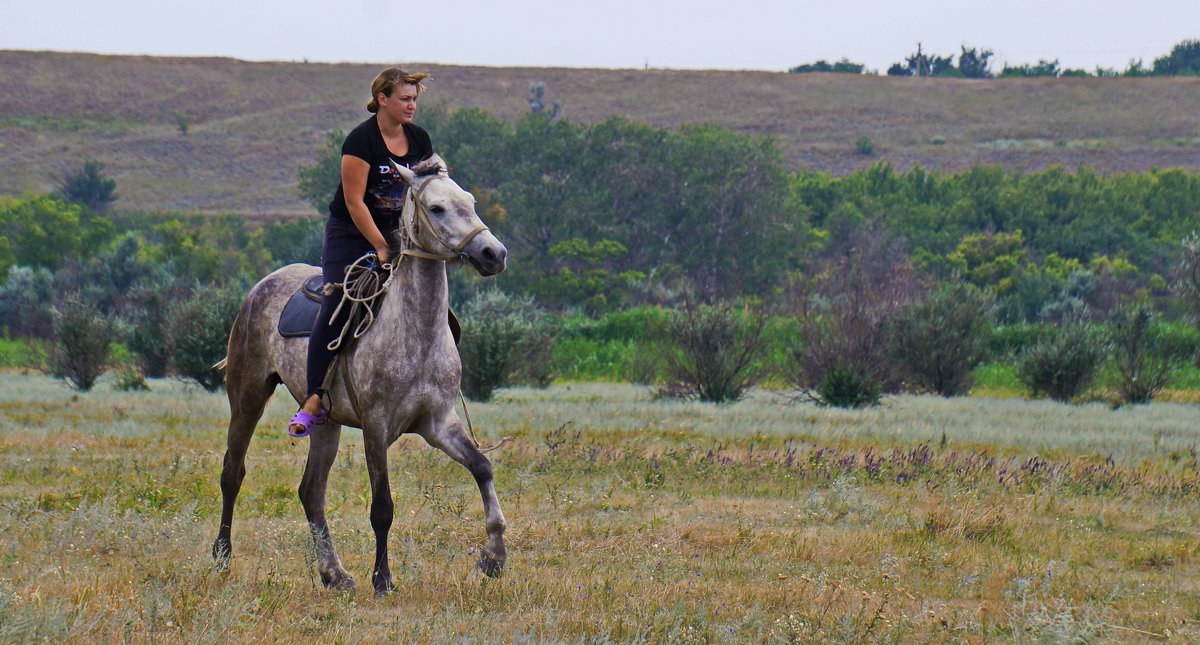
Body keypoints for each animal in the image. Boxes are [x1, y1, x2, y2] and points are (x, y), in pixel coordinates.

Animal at [213, 155, 508, 592]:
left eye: (470, 202)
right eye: (437, 208)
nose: (493, 254)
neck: (415, 332)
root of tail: (262, 285)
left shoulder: (438, 423)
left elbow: (482, 468)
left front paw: (493, 556)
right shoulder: (376, 426)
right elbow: (382, 506)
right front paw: (383, 579)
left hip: (325, 420)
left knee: (311, 491)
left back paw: (334, 574)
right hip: (248, 395)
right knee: (233, 472)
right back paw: (222, 557)